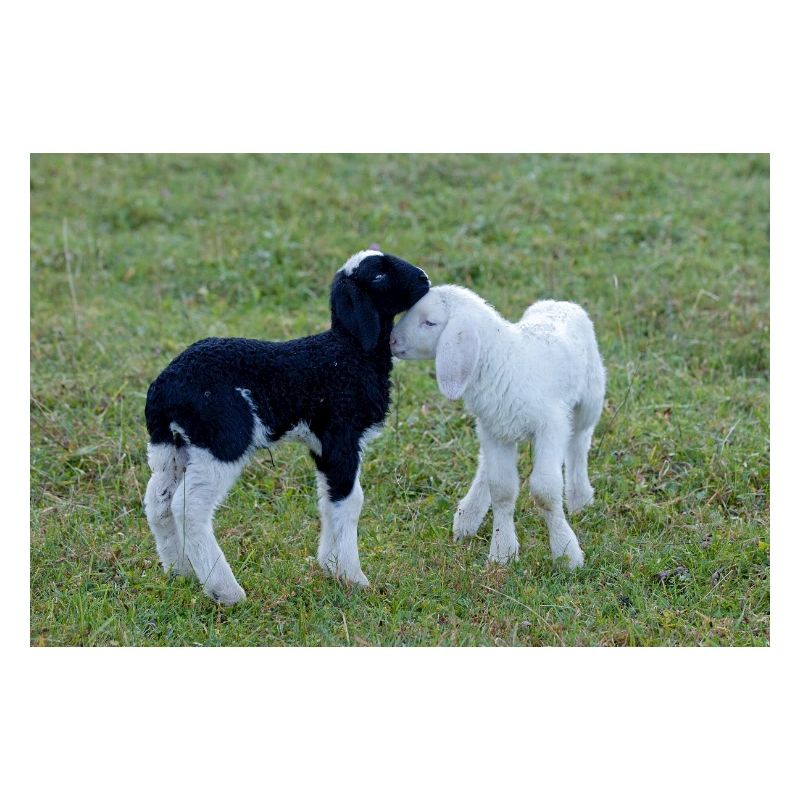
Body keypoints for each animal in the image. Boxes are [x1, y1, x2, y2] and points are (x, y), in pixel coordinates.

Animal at [143, 249, 430, 604]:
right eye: (378, 275)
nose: (424, 278)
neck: (351, 351)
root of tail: (165, 387)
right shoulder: (341, 436)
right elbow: (350, 501)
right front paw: (353, 577)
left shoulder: (322, 447)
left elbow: (328, 500)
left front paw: (330, 566)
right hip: (223, 439)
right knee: (189, 507)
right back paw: (225, 590)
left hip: (171, 444)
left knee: (159, 502)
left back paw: (180, 571)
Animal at [389, 284, 605, 569]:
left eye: (429, 322)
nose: (391, 341)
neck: (503, 361)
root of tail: (559, 303)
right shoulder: (495, 433)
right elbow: (501, 489)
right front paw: (503, 552)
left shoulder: (551, 425)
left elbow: (545, 491)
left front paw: (566, 552)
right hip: (495, 426)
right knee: (486, 466)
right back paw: (468, 515)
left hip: (590, 397)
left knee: (580, 442)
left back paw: (580, 497)